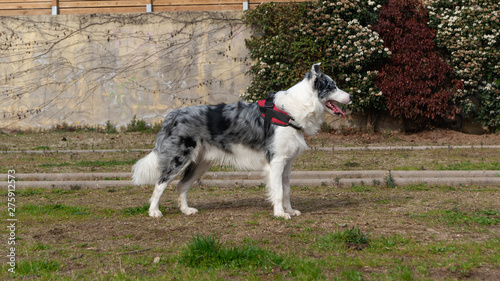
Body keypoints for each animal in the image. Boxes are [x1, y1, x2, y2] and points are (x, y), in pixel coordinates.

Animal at [133, 63, 352, 219]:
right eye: (333, 86)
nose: (351, 96)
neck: (291, 111)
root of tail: (173, 114)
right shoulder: (276, 161)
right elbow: (279, 191)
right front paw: (280, 214)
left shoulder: (287, 162)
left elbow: (287, 190)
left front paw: (289, 210)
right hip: (179, 158)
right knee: (160, 183)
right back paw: (154, 212)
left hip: (200, 164)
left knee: (181, 186)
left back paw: (186, 210)